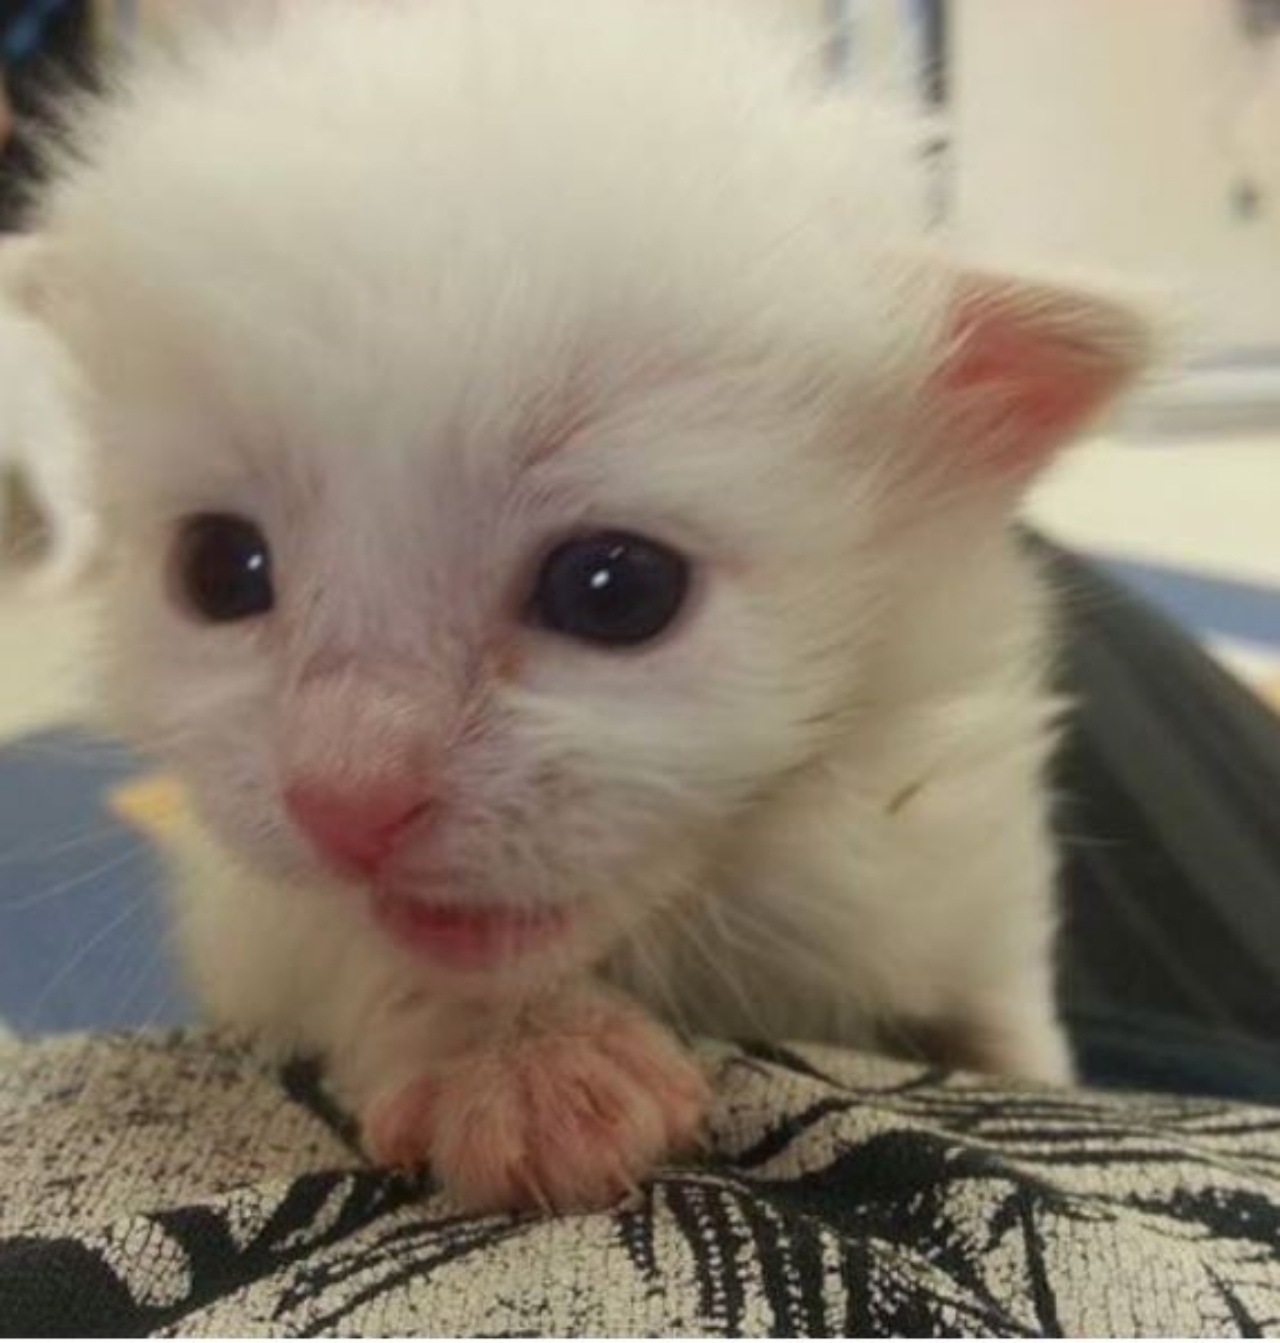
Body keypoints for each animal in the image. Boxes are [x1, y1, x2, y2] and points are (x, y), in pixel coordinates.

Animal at [14, 0, 1144, 1214]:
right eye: (220, 570)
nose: (346, 803)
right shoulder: (251, 917)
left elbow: (1008, 1019)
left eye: (615, 588)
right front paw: (513, 1055)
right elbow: (347, 941)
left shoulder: (955, 854)